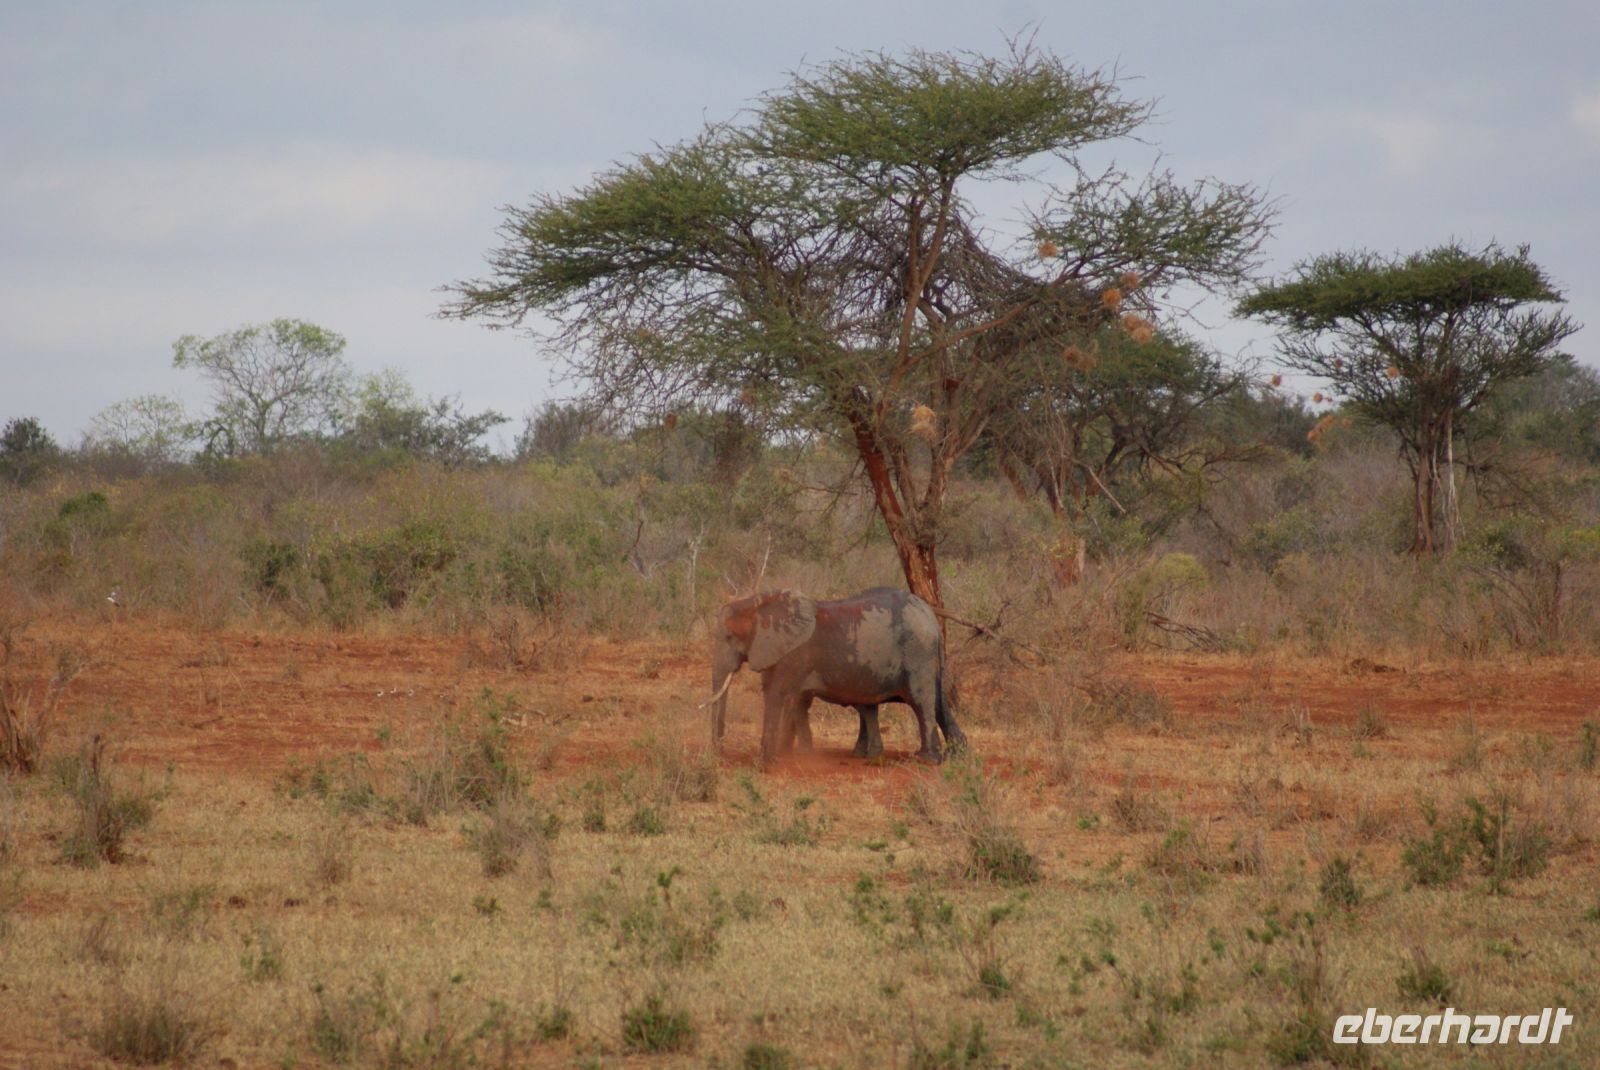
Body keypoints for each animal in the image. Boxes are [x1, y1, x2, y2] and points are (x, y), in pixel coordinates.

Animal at [709, 586, 966, 765]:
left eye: (729, 637)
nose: (720, 756)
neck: (756, 603)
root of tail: (930, 616)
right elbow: (794, 699)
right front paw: (794, 754)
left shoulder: (794, 653)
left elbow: (777, 695)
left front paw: (767, 761)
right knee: (938, 702)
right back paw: (957, 754)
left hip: (917, 652)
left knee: (922, 701)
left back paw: (926, 759)